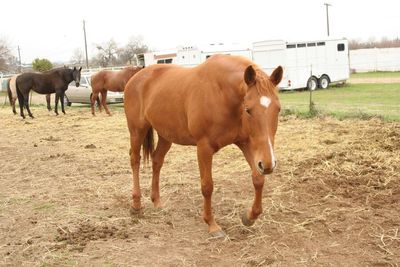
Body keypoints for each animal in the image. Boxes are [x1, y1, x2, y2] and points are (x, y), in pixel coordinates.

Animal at [123, 54, 282, 237]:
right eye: (248, 109)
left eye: (278, 109)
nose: (269, 164)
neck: (222, 93)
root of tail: (135, 77)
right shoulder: (204, 147)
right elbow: (207, 186)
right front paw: (212, 224)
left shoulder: (246, 143)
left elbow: (258, 179)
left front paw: (249, 217)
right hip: (137, 130)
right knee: (135, 160)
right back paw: (136, 205)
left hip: (165, 135)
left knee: (157, 161)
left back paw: (157, 202)